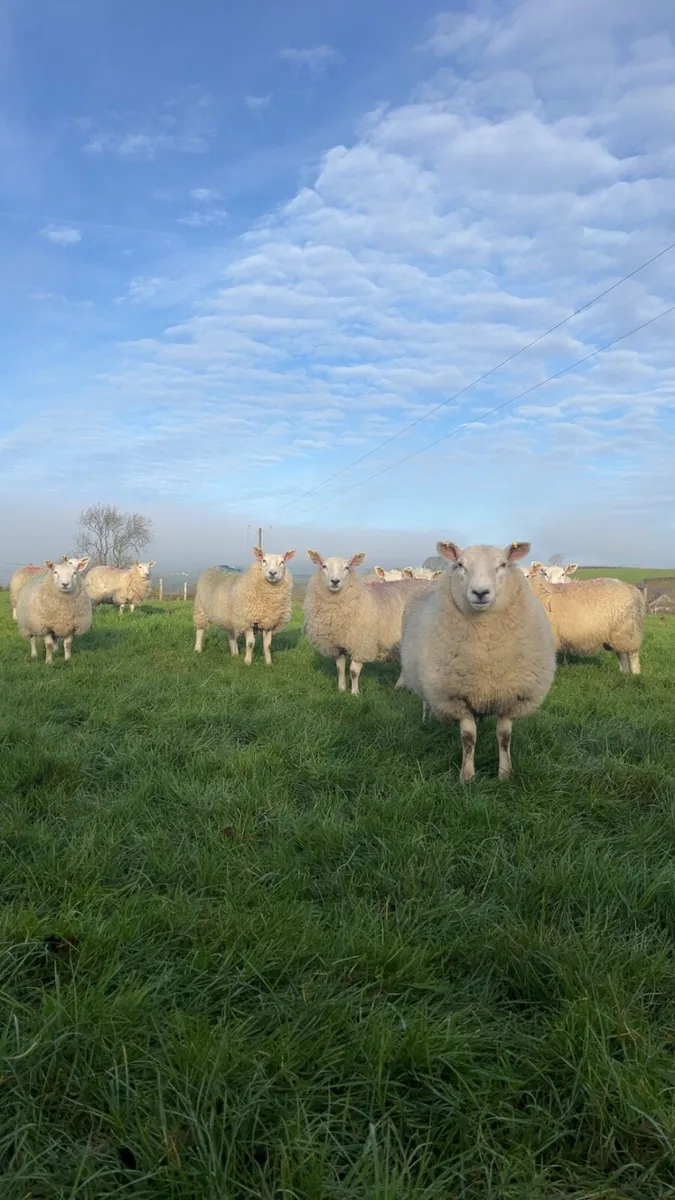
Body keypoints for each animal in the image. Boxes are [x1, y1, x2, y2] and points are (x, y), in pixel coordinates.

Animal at [303, 550, 433, 695]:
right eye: (324, 566)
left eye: (347, 567)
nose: (335, 581)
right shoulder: (337, 644)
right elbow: (340, 668)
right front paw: (341, 689)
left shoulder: (362, 643)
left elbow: (353, 671)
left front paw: (354, 693)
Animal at [397, 540, 555, 782]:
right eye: (460, 565)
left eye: (503, 564)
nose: (480, 592)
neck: (485, 653)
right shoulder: (454, 698)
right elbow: (469, 738)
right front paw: (467, 776)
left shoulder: (511, 697)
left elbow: (504, 737)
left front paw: (505, 774)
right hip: (426, 682)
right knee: (426, 701)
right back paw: (426, 719)